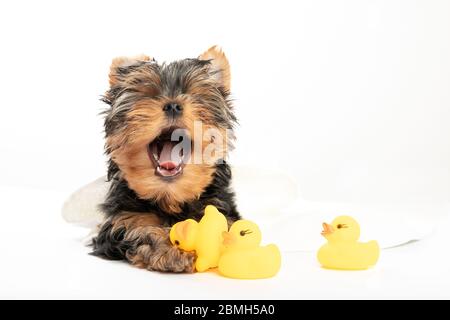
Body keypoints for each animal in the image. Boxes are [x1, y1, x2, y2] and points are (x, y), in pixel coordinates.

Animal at [89, 47, 241, 272]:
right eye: (149, 95)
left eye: (194, 96)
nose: (173, 105)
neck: (170, 197)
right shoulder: (124, 217)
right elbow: (141, 228)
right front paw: (172, 249)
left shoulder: (219, 207)